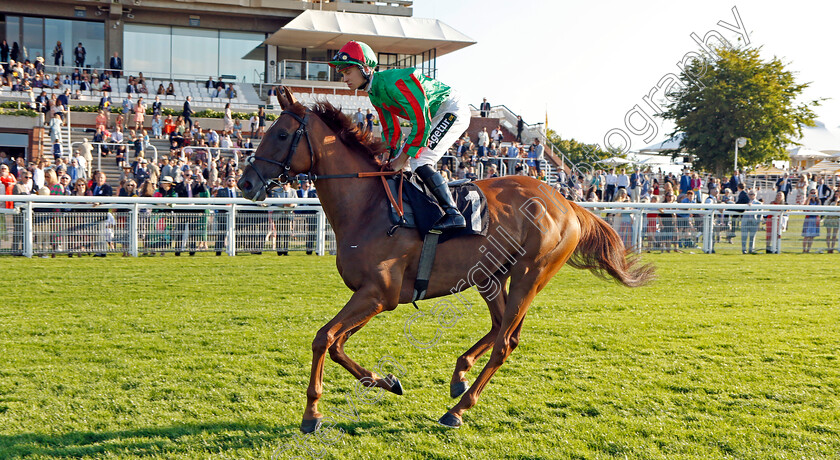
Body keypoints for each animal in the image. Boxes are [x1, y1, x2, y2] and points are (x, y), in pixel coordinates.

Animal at [240, 87, 652, 432]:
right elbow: (338, 345)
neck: (369, 207)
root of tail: (566, 202)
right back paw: (460, 375)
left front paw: (311, 414)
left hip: (530, 274)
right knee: (503, 329)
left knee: (505, 342)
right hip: (491, 277)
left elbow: (323, 338)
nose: (246, 183)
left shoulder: (378, 294)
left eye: (281, 134)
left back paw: (458, 409)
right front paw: (387, 381)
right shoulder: (373, 296)